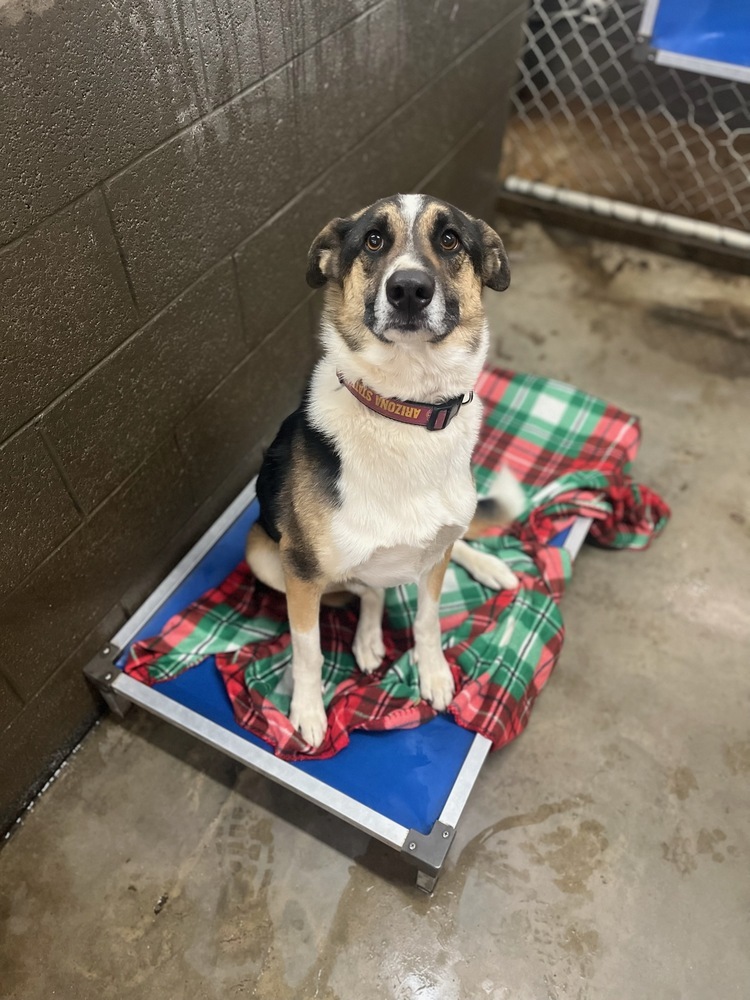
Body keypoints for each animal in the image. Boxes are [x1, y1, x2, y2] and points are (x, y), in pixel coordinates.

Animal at [245, 193, 524, 752]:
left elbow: (428, 620)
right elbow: (308, 651)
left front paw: (433, 674)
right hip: (263, 556)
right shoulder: (300, 573)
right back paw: (369, 638)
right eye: (373, 240)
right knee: (368, 589)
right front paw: (307, 711)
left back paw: (489, 565)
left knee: (448, 544)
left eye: (450, 239)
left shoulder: (435, 561)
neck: (405, 410)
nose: (409, 289)